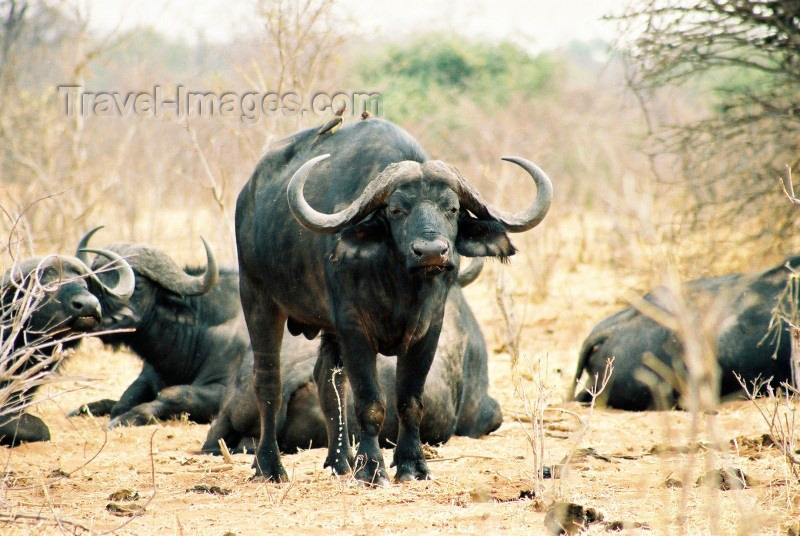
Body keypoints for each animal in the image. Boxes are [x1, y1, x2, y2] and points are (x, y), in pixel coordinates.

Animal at [68, 228, 233, 430]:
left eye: (138, 286)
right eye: (93, 284)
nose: (94, 313)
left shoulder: (222, 388)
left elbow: (174, 394)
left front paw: (128, 418)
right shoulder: (147, 377)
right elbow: (125, 399)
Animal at [234, 118, 552, 486]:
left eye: (452, 208)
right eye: (396, 209)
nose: (431, 252)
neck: (401, 286)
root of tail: (247, 197)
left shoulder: (428, 330)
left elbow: (410, 400)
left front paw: (412, 465)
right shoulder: (354, 328)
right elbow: (370, 402)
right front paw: (371, 468)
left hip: (327, 328)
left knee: (329, 382)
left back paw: (340, 463)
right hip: (258, 298)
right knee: (268, 381)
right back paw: (269, 466)